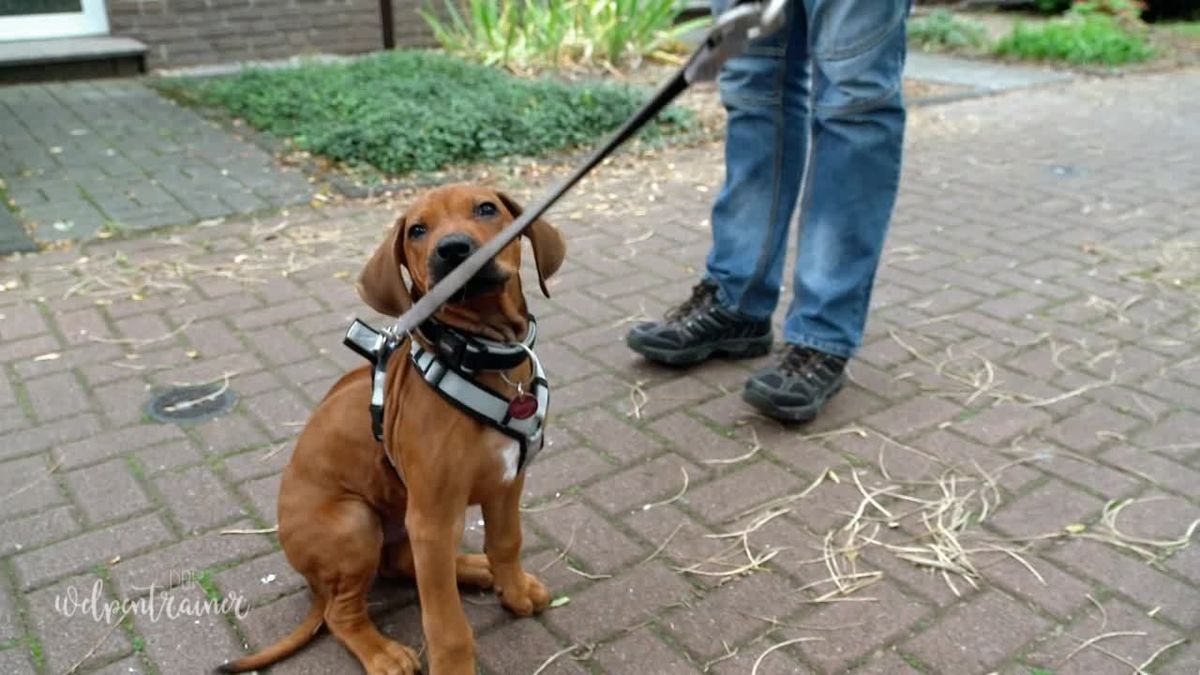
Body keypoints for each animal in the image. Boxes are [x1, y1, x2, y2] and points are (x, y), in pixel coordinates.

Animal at [218, 181, 564, 667]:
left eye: (486, 209)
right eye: (417, 230)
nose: (453, 249)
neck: (479, 355)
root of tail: (313, 585)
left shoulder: (506, 482)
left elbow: (506, 543)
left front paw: (513, 592)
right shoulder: (432, 518)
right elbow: (446, 624)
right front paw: (453, 666)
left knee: (401, 564)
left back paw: (473, 569)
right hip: (356, 522)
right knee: (343, 612)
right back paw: (384, 655)